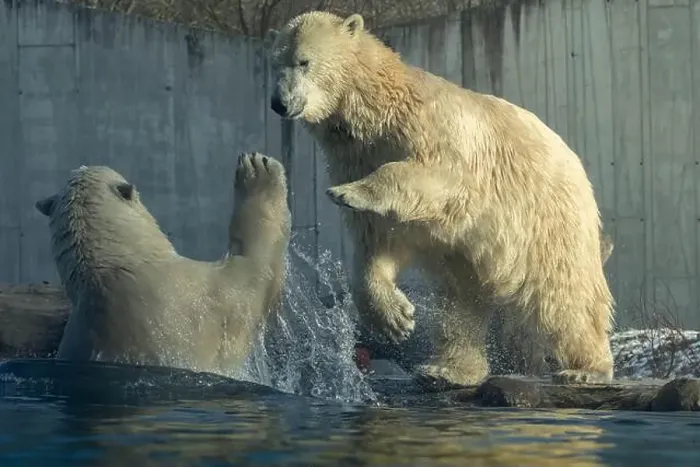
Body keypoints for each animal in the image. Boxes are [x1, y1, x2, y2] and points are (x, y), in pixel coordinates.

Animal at [265, 11, 615, 387]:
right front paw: (396, 319)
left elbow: (436, 177)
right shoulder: (355, 156)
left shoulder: (432, 133)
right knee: (461, 301)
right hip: (472, 253)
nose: (279, 103)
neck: (378, 108)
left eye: (303, 61)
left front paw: (348, 192)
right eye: (276, 64)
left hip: (547, 221)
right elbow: (378, 238)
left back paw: (586, 368)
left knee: (563, 295)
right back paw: (446, 370)